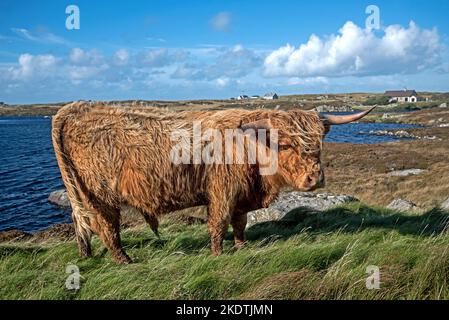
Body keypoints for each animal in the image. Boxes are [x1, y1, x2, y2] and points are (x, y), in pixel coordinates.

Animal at [51, 102, 374, 262]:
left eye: (320, 142)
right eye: (285, 144)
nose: (315, 178)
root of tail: (74, 108)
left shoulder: (242, 194)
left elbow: (240, 223)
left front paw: (242, 247)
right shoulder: (221, 191)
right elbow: (218, 223)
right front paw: (217, 255)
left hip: (80, 194)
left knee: (79, 222)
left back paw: (85, 255)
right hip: (100, 195)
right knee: (106, 227)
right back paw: (125, 261)